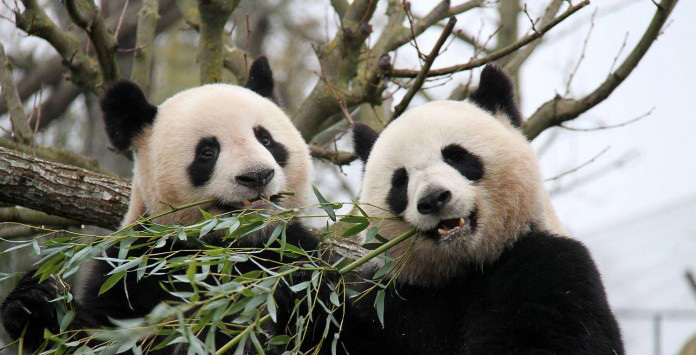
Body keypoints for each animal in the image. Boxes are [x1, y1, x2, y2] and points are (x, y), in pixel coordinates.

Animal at [0, 57, 320, 354]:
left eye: (265, 138)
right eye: (208, 151)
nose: (256, 176)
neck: (233, 246)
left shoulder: (292, 243)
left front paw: (301, 282)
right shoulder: (134, 268)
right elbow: (98, 336)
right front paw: (34, 303)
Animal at [296, 65, 624, 354]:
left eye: (456, 156)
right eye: (401, 181)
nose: (433, 199)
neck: (464, 269)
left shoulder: (553, 266)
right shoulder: (395, 296)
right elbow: (334, 332)